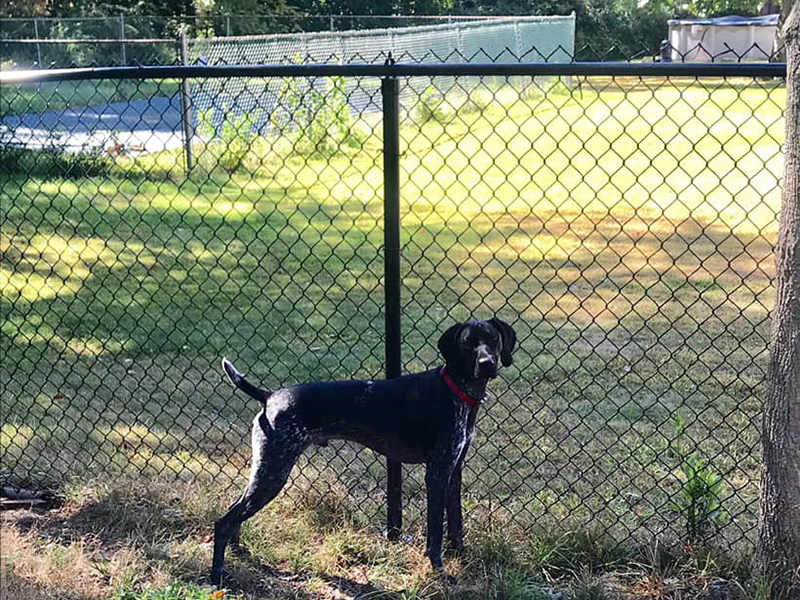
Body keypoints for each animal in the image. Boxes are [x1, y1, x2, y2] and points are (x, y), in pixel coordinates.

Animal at [209, 316, 516, 584]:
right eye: (468, 342)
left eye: (492, 338)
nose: (487, 363)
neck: (457, 389)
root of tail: (269, 396)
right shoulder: (437, 474)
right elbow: (436, 535)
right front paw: (439, 572)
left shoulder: (454, 471)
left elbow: (456, 525)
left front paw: (461, 557)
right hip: (273, 472)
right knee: (224, 522)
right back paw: (217, 575)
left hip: (264, 471)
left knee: (236, 513)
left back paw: (238, 552)